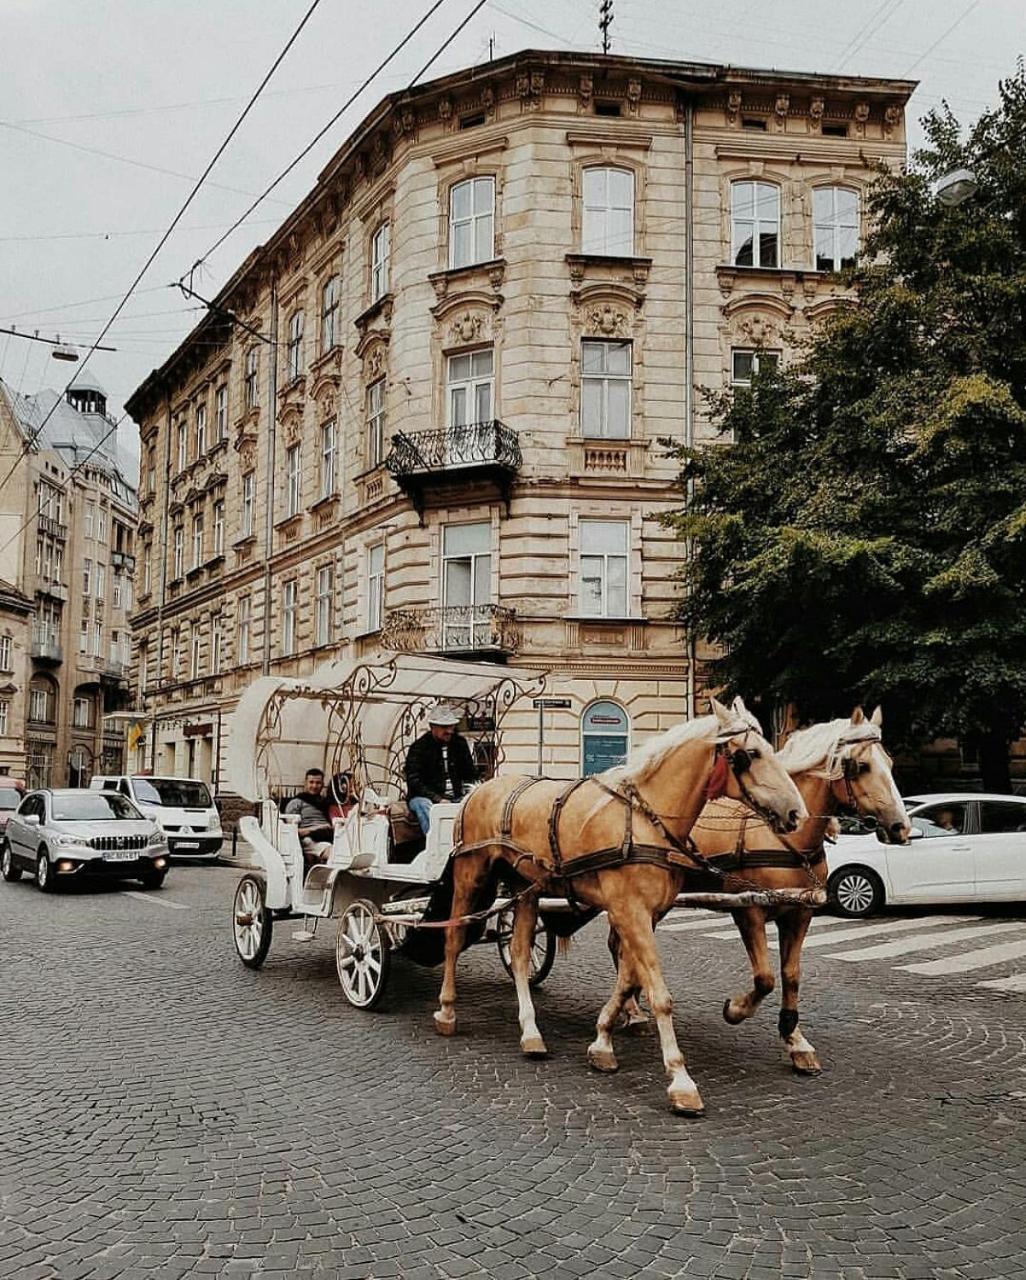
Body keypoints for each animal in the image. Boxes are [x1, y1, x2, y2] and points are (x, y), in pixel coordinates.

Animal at [432, 696, 798, 1116]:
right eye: (750, 755)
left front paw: (603, 1041)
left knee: (520, 954)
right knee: (453, 938)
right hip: (470, 875)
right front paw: (680, 1080)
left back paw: (531, 1032)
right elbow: (658, 994)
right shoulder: (629, 911)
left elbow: (628, 980)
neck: (645, 821)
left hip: (526, 888)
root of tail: (477, 788)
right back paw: (447, 1010)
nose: (795, 812)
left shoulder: (646, 914)